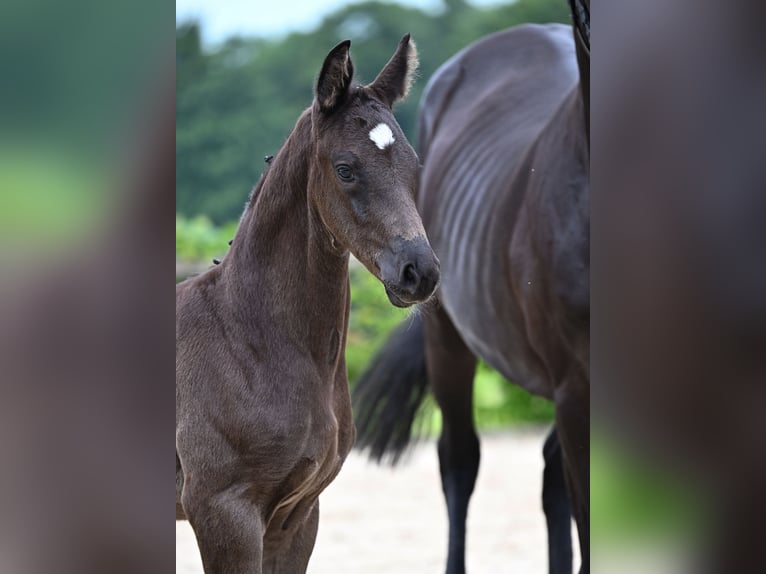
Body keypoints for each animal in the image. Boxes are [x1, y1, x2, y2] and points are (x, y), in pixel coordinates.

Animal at [176, 35, 440, 574]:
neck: (250, 341)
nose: (419, 272)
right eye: (345, 169)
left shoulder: (297, 516)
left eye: (413, 165)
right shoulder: (221, 510)